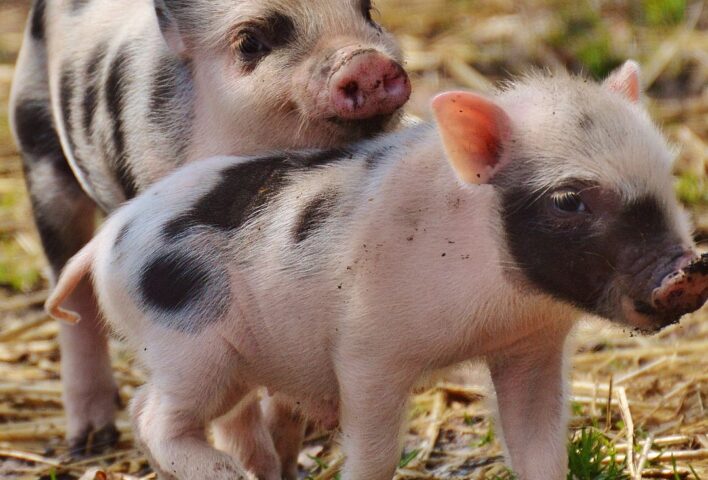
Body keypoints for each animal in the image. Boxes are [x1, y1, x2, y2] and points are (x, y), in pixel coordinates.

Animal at [9, 0, 410, 455]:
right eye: (249, 42)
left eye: (369, 11)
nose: (365, 61)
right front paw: (256, 460)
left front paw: (287, 446)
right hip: (39, 148)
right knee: (72, 299)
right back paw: (90, 442)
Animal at [46, 61, 708, 480]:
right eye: (570, 201)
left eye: (666, 173)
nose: (689, 268)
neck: (498, 303)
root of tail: (105, 240)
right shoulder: (366, 351)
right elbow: (372, 455)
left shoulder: (532, 349)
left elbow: (539, 448)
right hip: (188, 347)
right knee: (152, 417)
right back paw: (223, 474)